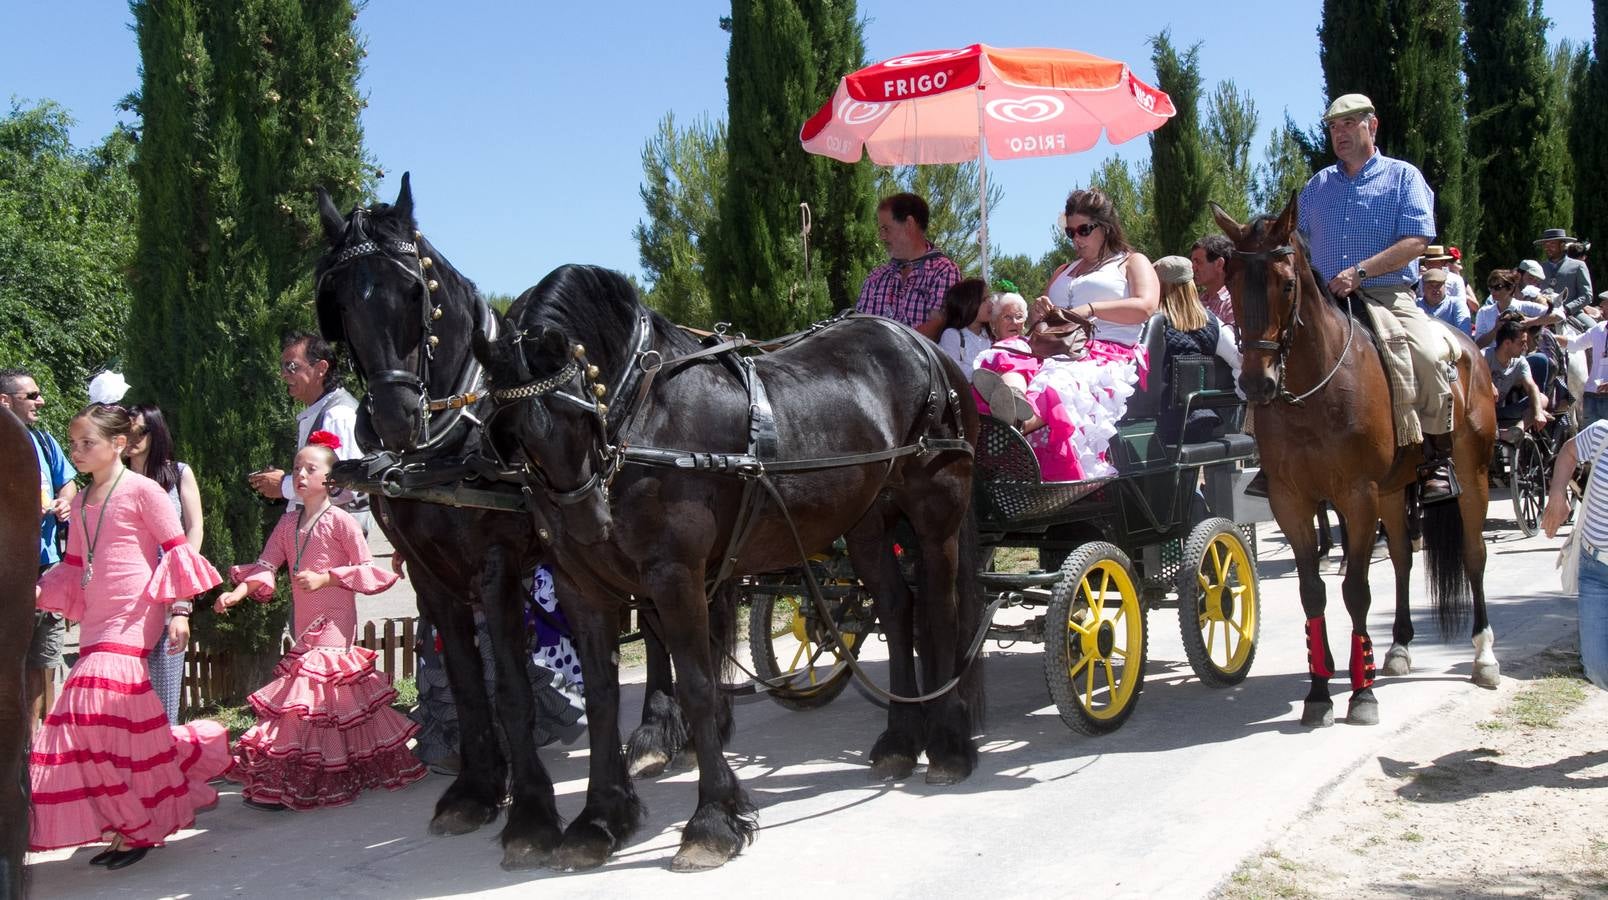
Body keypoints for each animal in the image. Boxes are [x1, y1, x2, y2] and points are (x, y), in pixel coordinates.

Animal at [311, 179, 691, 867]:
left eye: (414, 291)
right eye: (340, 300)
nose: (397, 418)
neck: (448, 443)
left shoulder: (496, 566)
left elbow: (510, 687)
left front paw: (532, 815)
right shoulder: (427, 572)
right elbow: (467, 682)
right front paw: (477, 789)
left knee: (656, 626)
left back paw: (655, 732)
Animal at [469, 265, 984, 874]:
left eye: (582, 408)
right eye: (514, 433)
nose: (588, 523)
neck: (640, 414)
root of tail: (926, 348)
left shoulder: (676, 576)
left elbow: (696, 687)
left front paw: (712, 822)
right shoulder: (581, 587)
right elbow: (600, 699)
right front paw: (599, 819)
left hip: (936, 510)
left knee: (940, 611)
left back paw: (948, 745)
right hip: (864, 522)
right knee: (897, 607)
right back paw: (901, 741)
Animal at [1222, 200, 1498, 726]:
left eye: (1286, 284)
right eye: (1230, 283)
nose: (1256, 383)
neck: (1314, 393)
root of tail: (1469, 346)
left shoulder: (1356, 495)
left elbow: (1356, 589)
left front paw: (1361, 694)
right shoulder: (1293, 502)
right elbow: (1313, 591)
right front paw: (1319, 691)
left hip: (1472, 476)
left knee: (1474, 556)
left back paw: (1484, 656)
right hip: (1392, 492)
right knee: (1404, 559)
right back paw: (1399, 648)